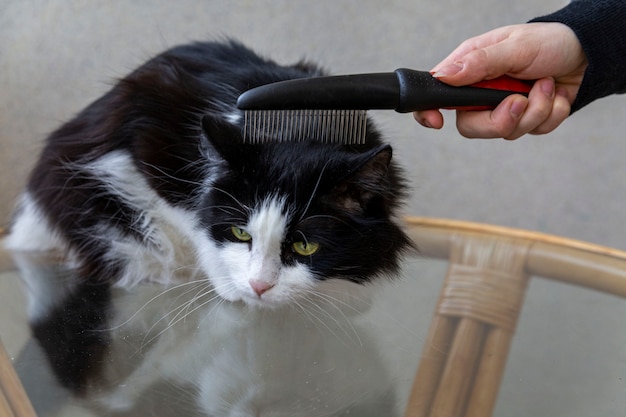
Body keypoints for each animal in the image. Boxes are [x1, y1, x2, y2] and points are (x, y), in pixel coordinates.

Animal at [6, 39, 414, 416]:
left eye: (304, 247)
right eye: (241, 234)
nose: (258, 287)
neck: (299, 125)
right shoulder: (149, 146)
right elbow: (195, 223)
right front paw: (229, 285)